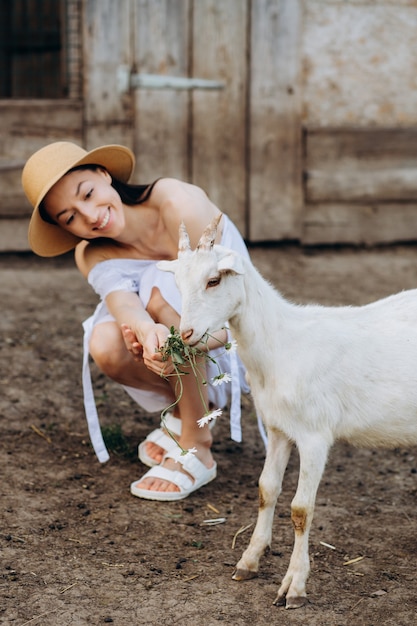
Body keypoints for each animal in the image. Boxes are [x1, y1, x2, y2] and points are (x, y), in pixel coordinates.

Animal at [157, 214, 417, 604]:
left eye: (214, 279)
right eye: (177, 281)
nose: (185, 333)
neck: (282, 345)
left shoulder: (315, 435)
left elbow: (300, 509)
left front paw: (294, 585)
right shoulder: (278, 428)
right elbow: (267, 490)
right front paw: (249, 561)